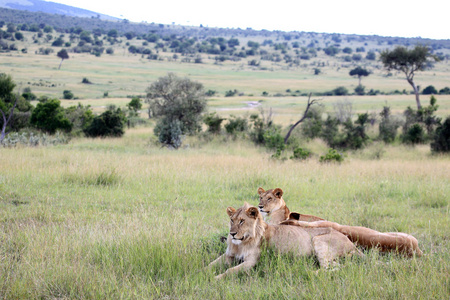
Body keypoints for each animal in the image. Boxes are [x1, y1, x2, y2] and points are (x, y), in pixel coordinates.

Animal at [207, 202, 362, 278]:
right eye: (232, 220)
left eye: (242, 221)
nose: (232, 233)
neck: (241, 243)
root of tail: (351, 244)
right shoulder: (229, 255)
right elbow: (210, 265)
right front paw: (202, 273)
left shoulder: (251, 261)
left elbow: (230, 271)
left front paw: (215, 278)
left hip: (319, 240)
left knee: (336, 267)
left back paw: (308, 273)